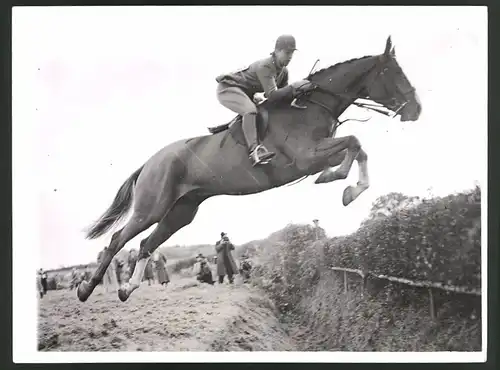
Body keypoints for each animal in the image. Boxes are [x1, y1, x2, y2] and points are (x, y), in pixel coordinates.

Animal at [78, 35, 422, 304]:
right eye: (393, 72)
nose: (416, 110)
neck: (312, 105)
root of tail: (150, 162)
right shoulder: (307, 157)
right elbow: (352, 143)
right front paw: (342, 184)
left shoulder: (319, 153)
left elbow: (356, 148)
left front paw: (349, 188)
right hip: (153, 206)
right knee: (118, 239)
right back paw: (85, 289)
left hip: (182, 210)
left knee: (146, 244)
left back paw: (127, 289)